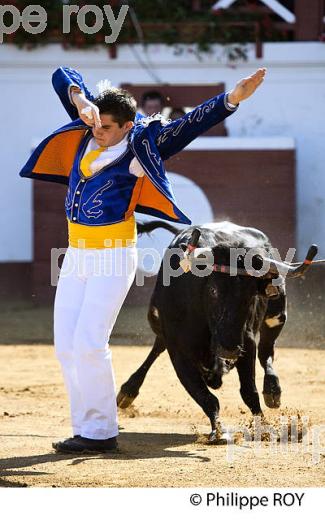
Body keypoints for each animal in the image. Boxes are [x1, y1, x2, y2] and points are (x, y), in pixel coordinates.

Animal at [117, 221, 316, 440]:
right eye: (213, 290)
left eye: (250, 294)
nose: (229, 349)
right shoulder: (178, 349)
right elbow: (205, 396)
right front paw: (219, 430)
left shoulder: (246, 341)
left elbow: (249, 392)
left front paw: (263, 427)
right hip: (156, 321)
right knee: (158, 346)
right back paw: (127, 391)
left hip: (277, 316)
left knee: (266, 353)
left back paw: (273, 390)